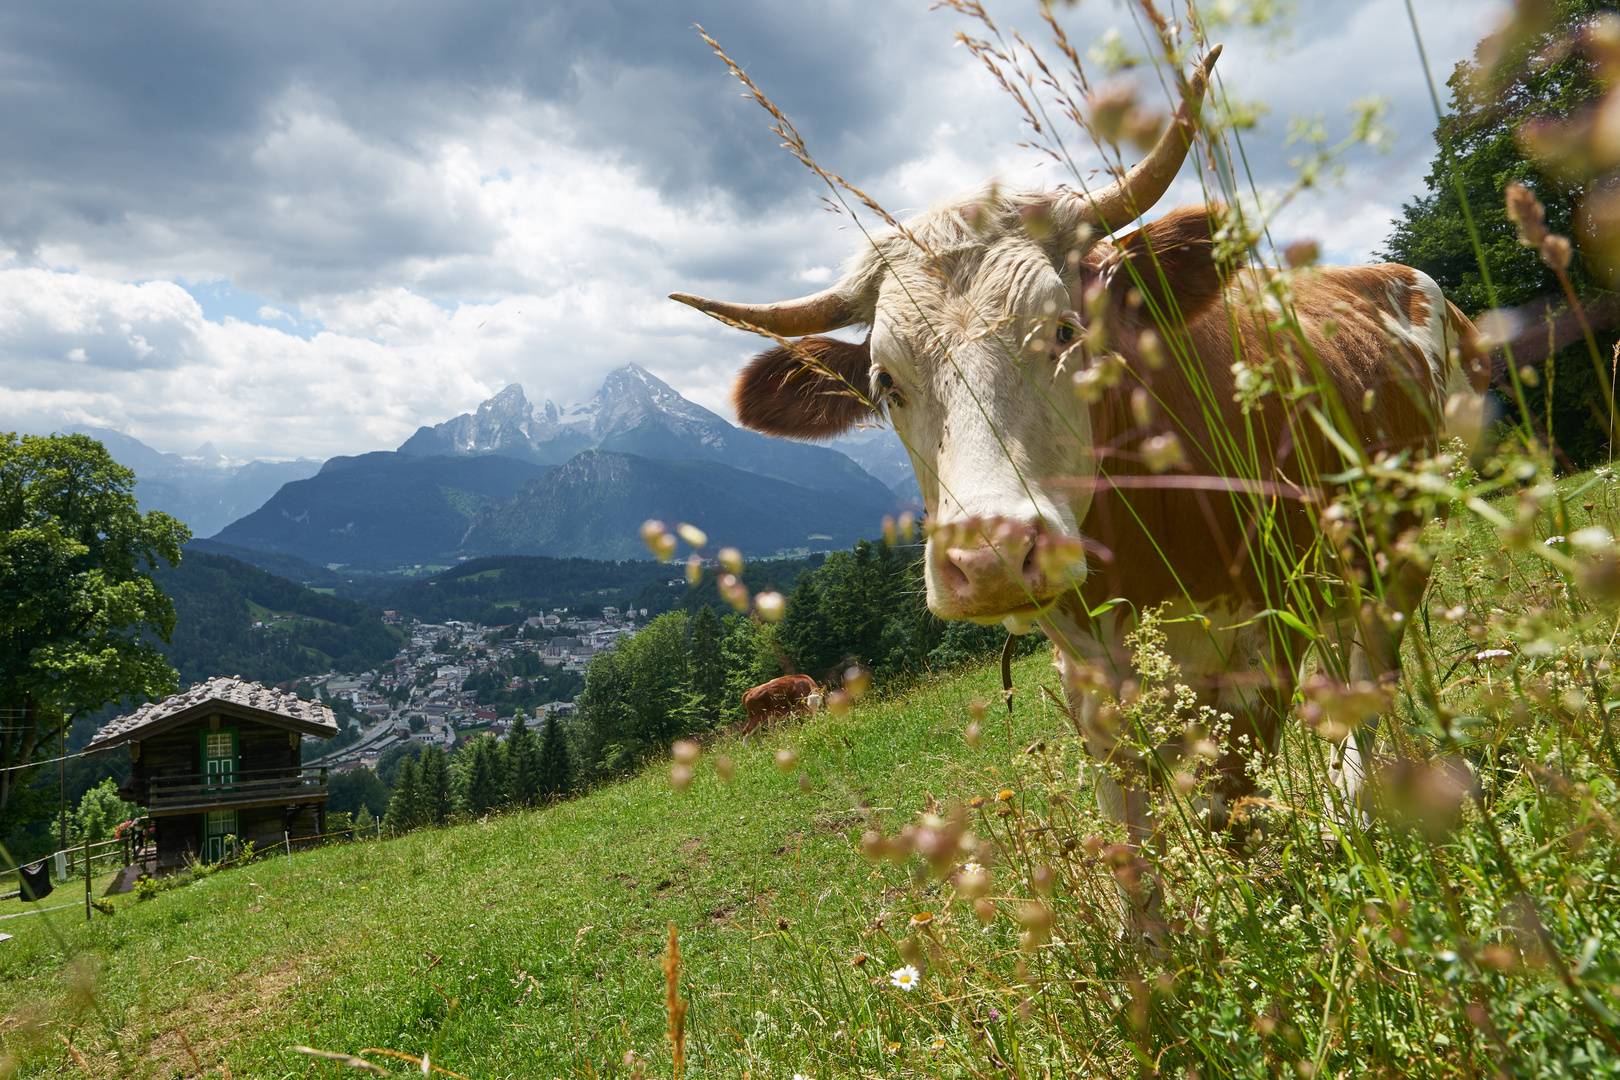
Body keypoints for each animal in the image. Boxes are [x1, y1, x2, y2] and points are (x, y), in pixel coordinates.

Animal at [667, 52, 1483, 932]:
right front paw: (1154, 957)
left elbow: (1230, 809)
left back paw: (1362, 805)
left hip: (1399, 547)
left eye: (1066, 331)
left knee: (1374, 668)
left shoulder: (1255, 641)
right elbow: (1128, 828)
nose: (989, 558)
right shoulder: (1088, 676)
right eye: (885, 382)